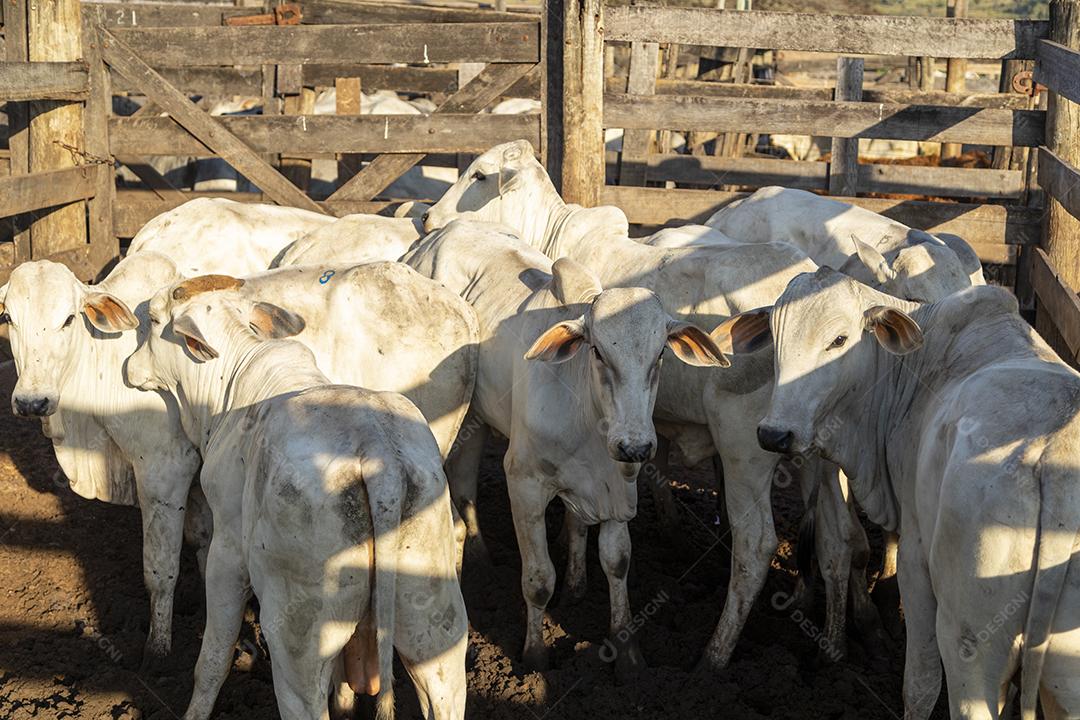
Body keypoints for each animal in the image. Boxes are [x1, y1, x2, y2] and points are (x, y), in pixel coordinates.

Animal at [0, 256, 203, 665]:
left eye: (68, 319)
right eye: (9, 317)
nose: (32, 401)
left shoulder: (165, 471)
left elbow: (160, 571)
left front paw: (157, 653)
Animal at [118, 276, 467, 720]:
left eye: (155, 319)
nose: (129, 368)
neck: (231, 384)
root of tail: (378, 454)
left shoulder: (227, 551)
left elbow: (213, 659)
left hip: (298, 637)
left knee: (303, 698)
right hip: (434, 622)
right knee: (444, 686)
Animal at [402, 220, 727, 676]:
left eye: (660, 353)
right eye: (598, 352)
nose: (635, 445)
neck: (588, 421)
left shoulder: (619, 488)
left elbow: (616, 562)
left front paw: (626, 651)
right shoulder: (523, 483)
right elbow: (539, 580)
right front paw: (535, 655)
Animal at [713, 269, 1080, 720]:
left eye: (839, 340)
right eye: (775, 337)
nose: (774, 434)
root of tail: (1058, 456)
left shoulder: (915, 565)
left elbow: (920, 685)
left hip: (970, 642)